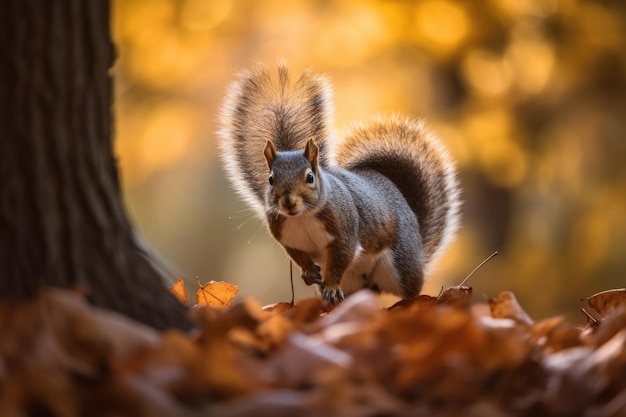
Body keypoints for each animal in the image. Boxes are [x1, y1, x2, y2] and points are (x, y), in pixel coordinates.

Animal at [218, 62, 458, 302]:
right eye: (270, 179)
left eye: (310, 177)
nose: (288, 202)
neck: (302, 217)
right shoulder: (288, 238)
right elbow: (298, 256)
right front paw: (308, 272)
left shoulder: (345, 232)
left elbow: (340, 261)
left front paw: (332, 287)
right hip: (355, 282)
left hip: (401, 263)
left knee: (410, 289)